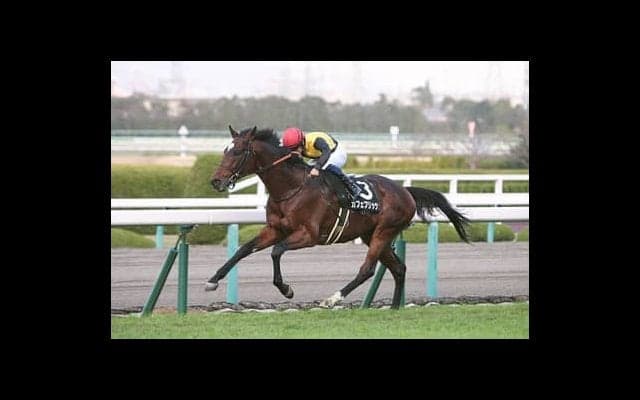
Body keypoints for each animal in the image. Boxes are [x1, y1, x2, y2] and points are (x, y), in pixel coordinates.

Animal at [206, 126, 470, 309]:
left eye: (238, 151)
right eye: (224, 150)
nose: (216, 181)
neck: (291, 188)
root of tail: (405, 191)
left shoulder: (309, 235)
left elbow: (276, 251)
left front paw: (286, 289)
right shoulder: (274, 229)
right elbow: (243, 250)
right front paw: (213, 279)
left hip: (384, 232)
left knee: (367, 269)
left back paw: (332, 299)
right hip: (372, 234)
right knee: (399, 268)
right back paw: (395, 308)